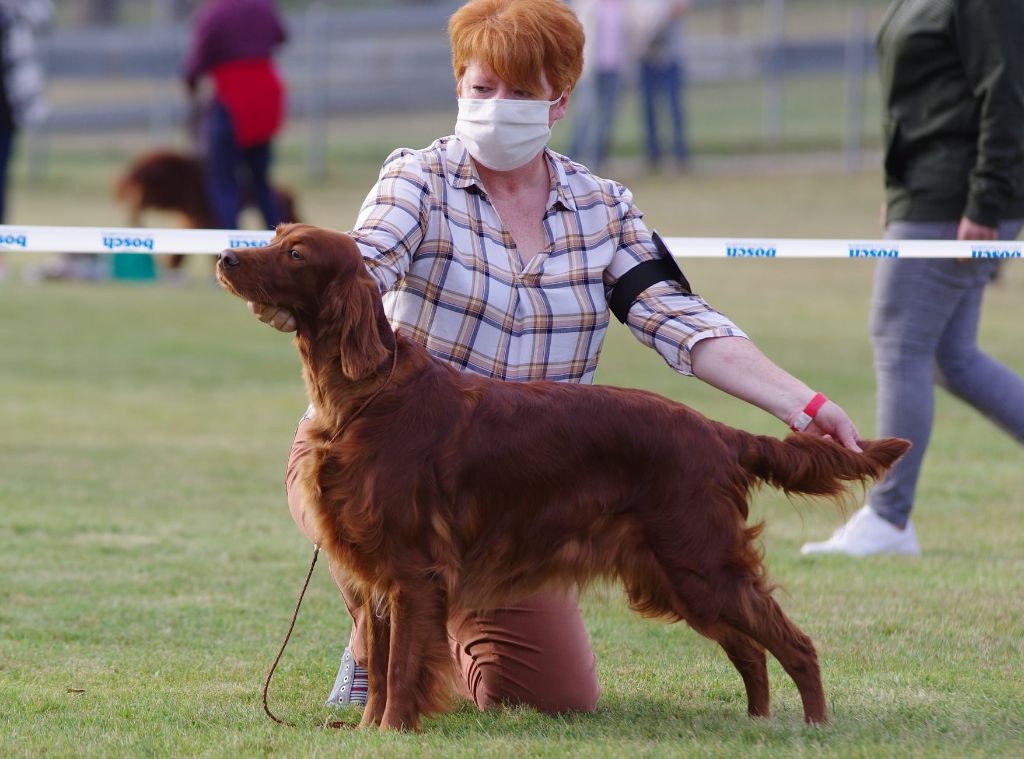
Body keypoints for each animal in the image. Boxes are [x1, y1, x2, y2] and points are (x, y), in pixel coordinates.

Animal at [218, 223, 913, 729]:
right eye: (274, 235)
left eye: (296, 252)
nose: (225, 256)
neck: (362, 397)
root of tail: (717, 431)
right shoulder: (374, 576)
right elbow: (383, 669)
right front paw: (367, 733)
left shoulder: (413, 571)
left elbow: (403, 670)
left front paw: (390, 733)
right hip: (675, 575)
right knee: (749, 649)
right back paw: (757, 723)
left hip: (701, 561)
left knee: (794, 644)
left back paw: (813, 727)